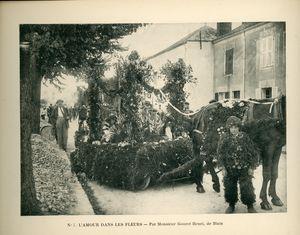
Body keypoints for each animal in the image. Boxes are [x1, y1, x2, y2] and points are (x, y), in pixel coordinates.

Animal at [157, 94, 286, 210]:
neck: (275, 118)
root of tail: (199, 112)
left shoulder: (277, 148)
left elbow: (275, 173)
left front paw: (275, 198)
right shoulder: (268, 148)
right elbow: (267, 174)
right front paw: (265, 201)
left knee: (207, 159)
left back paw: (215, 184)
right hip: (199, 142)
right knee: (200, 159)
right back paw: (200, 185)